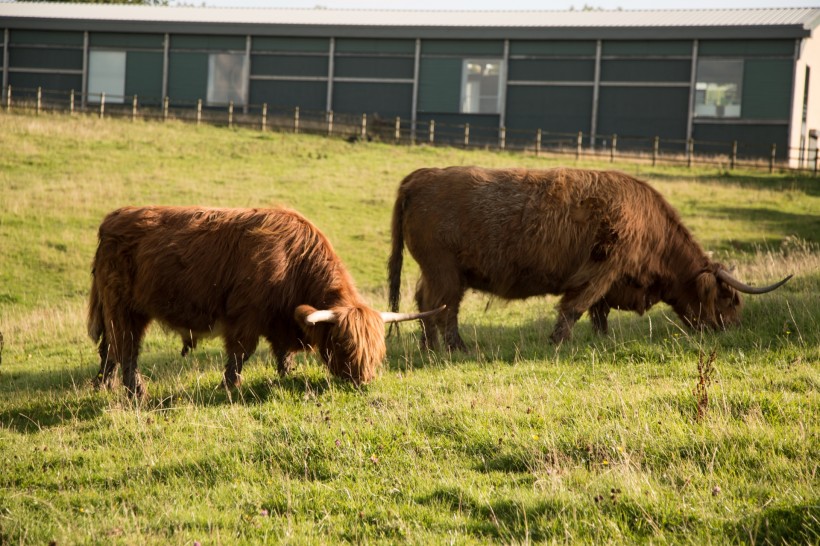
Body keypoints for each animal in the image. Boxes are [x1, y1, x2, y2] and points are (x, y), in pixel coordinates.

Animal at [86, 204, 438, 396]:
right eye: (344, 344)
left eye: (378, 351)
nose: (362, 381)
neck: (294, 262)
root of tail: (111, 220)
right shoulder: (245, 317)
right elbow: (240, 354)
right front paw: (230, 386)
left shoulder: (281, 319)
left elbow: (283, 353)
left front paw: (286, 375)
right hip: (123, 308)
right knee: (126, 348)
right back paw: (136, 391)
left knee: (109, 349)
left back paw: (104, 385)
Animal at [388, 164, 792, 348]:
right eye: (730, 299)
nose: (734, 329)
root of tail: (420, 176)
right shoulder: (602, 268)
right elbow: (576, 306)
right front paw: (558, 342)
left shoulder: (609, 279)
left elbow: (599, 312)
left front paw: (600, 339)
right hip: (445, 271)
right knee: (442, 307)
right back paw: (454, 347)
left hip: (437, 272)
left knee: (426, 303)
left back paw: (431, 346)